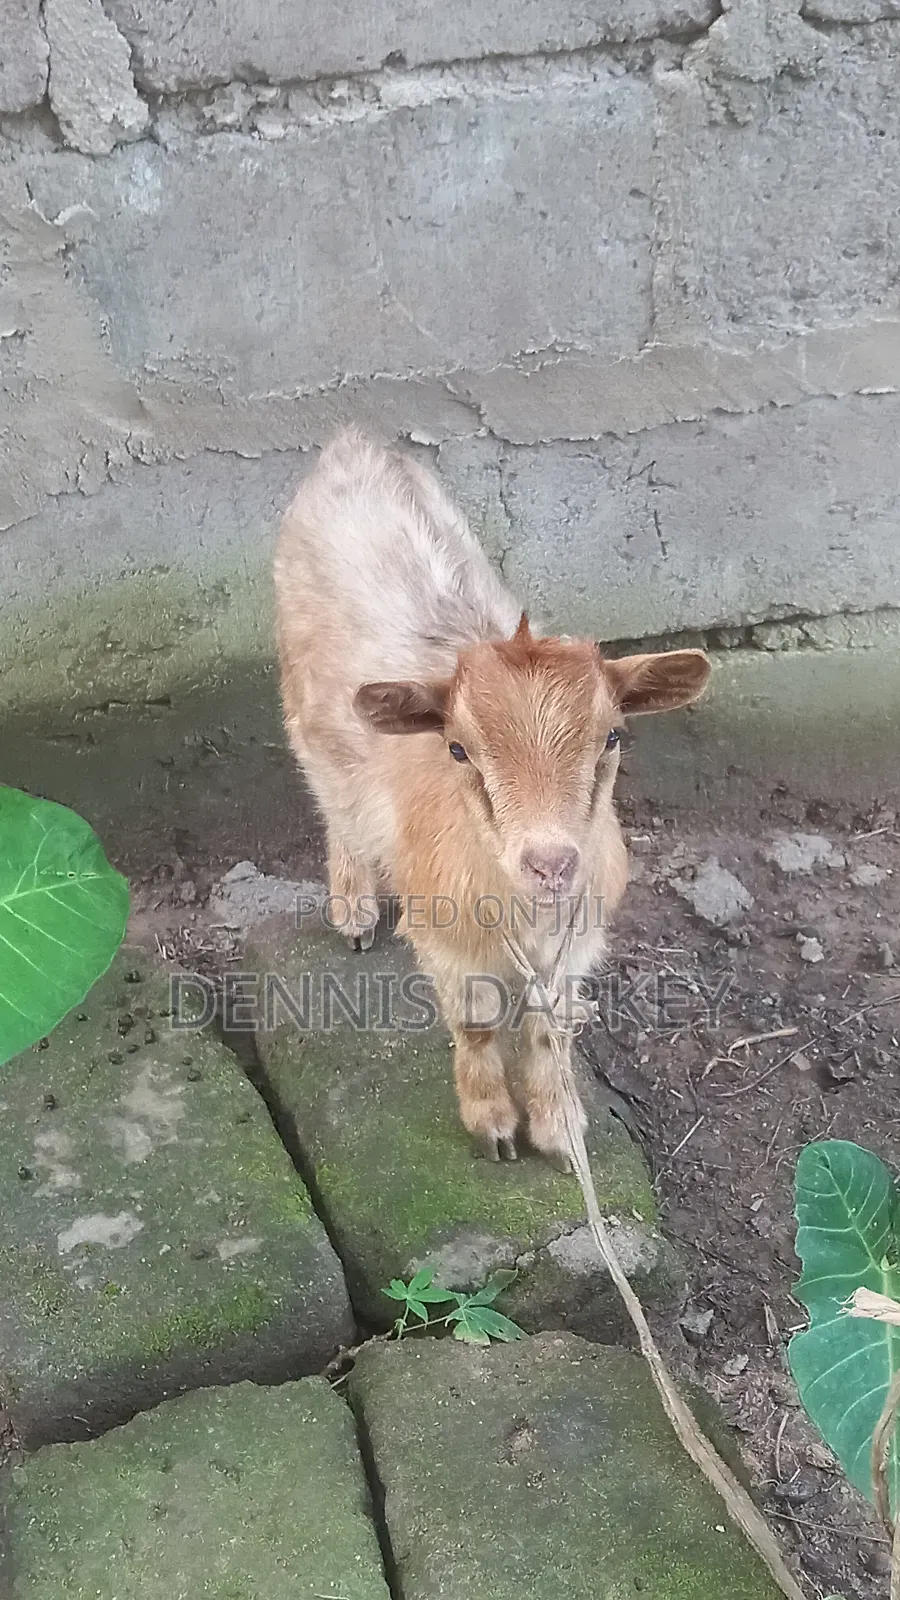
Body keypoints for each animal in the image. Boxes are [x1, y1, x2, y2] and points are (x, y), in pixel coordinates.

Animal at [274, 428, 710, 1169]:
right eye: (458, 750)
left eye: (612, 736)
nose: (551, 864)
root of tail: (351, 444)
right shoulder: (448, 944)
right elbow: (476, 1024)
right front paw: (494, 1124)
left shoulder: (574, 943)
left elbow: (547, 1029)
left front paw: (560, 1128)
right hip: (305, 709)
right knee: (335, 803)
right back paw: (354, 908)